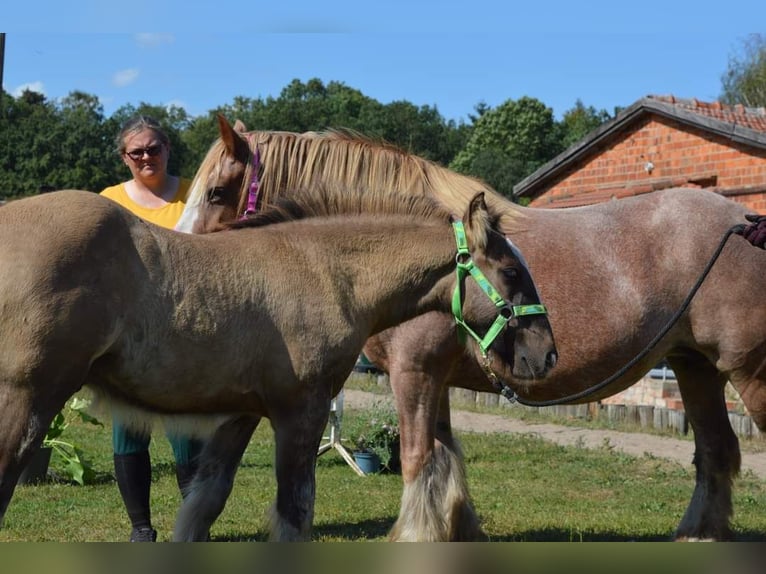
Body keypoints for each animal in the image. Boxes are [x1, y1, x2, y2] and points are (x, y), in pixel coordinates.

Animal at [0, 187, 556, 544]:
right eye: (510, 271)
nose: (545, 354)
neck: (327, 273)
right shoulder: (300, 411)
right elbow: (295, 512)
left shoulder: (240, 413)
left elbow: (205, 501)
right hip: (29, 396)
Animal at [176, 115, 766, 544]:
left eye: (216, 192)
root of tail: (743, 222)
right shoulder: (434, 377)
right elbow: (444, 459)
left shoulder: (414, 373)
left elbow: (418, 459)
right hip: (695, 367)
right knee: (717, 451)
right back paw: (697, 535)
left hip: (748, 371)